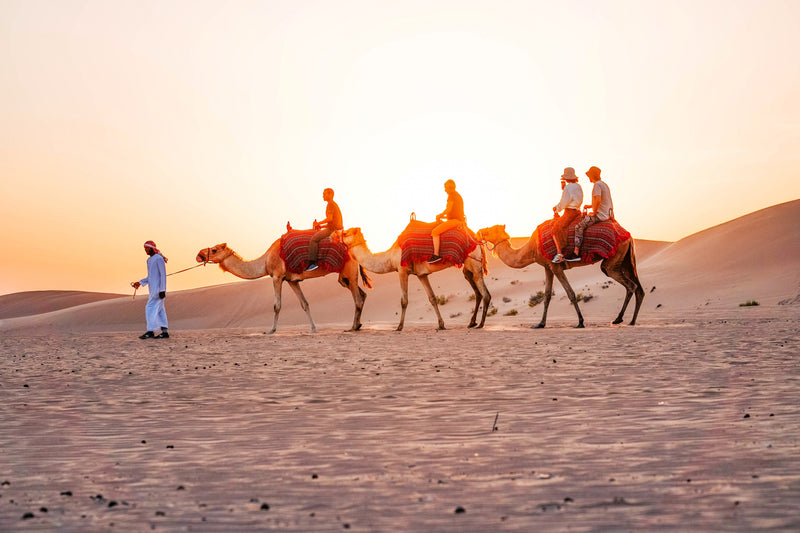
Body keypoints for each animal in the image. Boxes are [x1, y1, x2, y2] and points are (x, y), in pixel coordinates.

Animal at [196, 239, 370, 334]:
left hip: (348, 271)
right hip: (345, 277)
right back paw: (358, 325)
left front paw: (271, 331)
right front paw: (313, 329)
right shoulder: (292, 280)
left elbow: (277, 305)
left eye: (214, 250)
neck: (265, 261)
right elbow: (304, 304)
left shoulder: (277, 276)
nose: (199, 255)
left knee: (357, 299)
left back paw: (352, 327)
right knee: (362, 295)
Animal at [341, 227, 491, 331]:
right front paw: (441, 325)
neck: (389, 257)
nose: (338, 236)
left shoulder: (402, 271)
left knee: (485, 294)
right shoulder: (421, 275)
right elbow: (432, 298)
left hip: (474, 263)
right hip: (468, 269)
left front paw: (399, 327)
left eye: (346, 233)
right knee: (478, 292)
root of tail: (477, 241)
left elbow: (404, 300)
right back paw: (472, 323)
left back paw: (480, 324)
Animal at [476, 224, 644, 328]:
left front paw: (580, 322)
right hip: (626, 259)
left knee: (630, 285)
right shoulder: (548, 267)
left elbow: (570, 293)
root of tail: (629, 236)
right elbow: (547, 296)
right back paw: (631, 321)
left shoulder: (556, 266)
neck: (532, 249)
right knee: (638, 288)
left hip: (613, 259)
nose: (479, 231)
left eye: (490, 229)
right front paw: (540, 324)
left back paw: (620, 319)